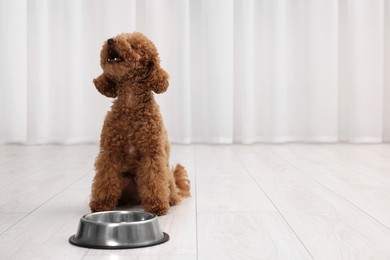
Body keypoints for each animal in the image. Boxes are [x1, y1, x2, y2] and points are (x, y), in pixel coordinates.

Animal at [90, 32, 190, 215]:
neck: (131, 104)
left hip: (168, 177)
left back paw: (171, 199)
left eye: (134, 46)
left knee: (170, 188)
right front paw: (101, 205)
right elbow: (105, 179)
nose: (110, 40)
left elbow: (154, 180)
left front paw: (157, 206)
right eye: (118, 37)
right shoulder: (110, 152)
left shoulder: (152, 153)